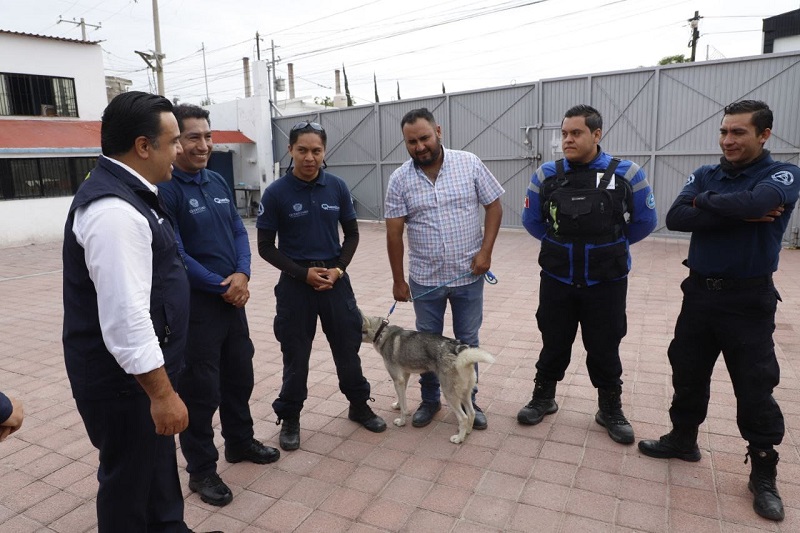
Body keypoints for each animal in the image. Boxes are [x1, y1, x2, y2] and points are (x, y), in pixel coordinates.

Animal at [360, 314, 494, 442]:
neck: (382, 332)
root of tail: (459, 350)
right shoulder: (404, 377)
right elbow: (401, 398)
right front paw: (398, 405)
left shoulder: (397, 379)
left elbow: (404, 407)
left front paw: (402, 421)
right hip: (465, 392)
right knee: (471, 413)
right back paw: (467, 432)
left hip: (449, 393)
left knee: (464, 417)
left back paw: (459, 438)